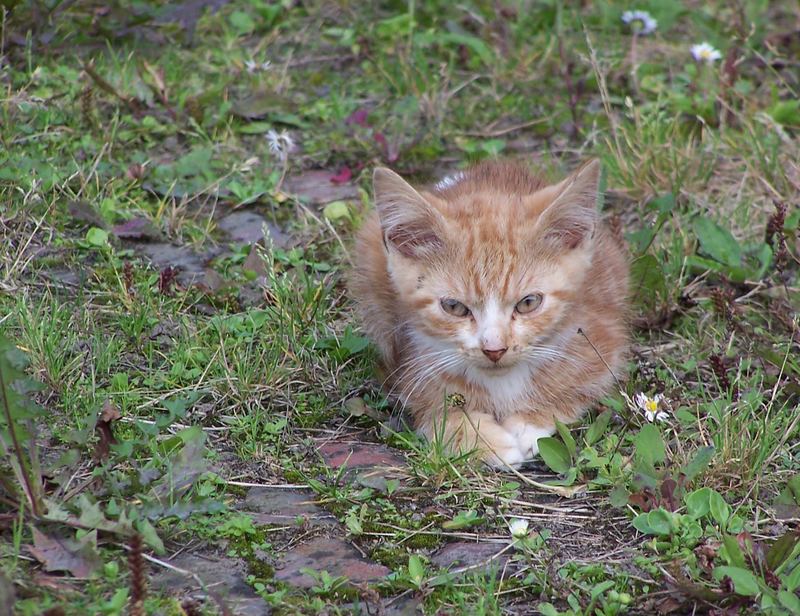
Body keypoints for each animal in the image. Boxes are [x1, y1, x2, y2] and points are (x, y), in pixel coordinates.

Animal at [350, 161, 632, 470]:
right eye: (454, 307)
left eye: (528, 303)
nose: (494, 349)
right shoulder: (406, 360)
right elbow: (433, 408)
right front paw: (481, 440)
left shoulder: (603, 339)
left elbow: (578, 388)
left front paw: (529, 423)